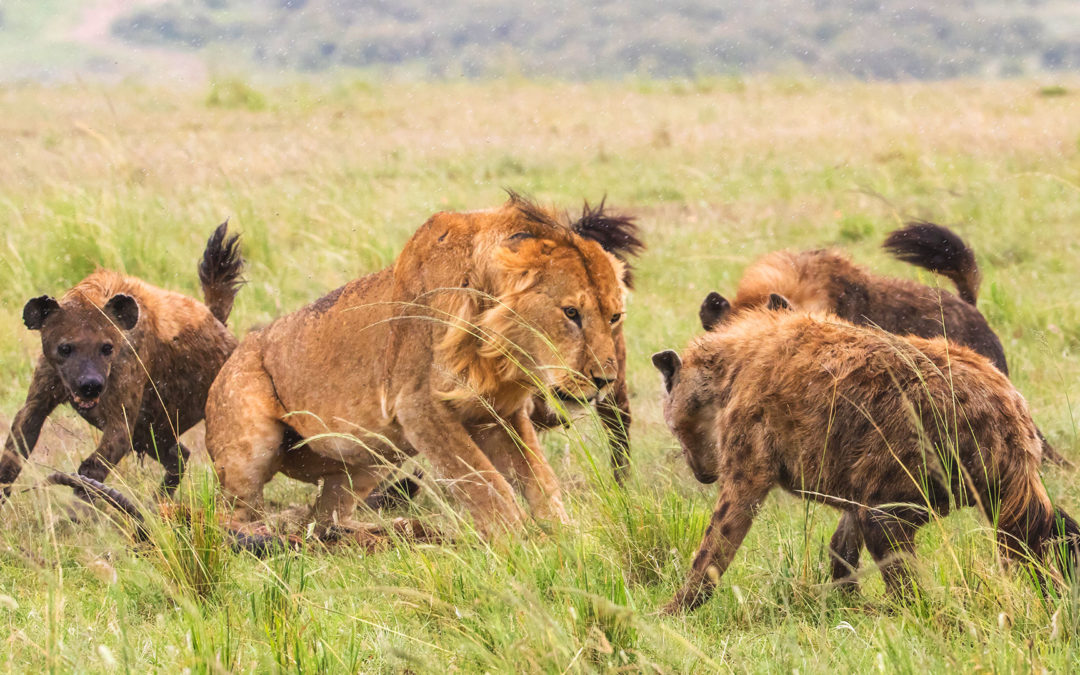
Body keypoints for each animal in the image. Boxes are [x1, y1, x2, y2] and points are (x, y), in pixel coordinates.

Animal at [205, 193, 630, 537]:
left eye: (614, 317)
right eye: (571, 313)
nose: (605, 380)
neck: (499, 353)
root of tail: (238, 346)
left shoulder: (498, 414)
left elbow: (540, 479)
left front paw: (569, 540)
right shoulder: (419, 406)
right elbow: (486, 485)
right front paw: (522, 546)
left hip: (370, 460)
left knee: (324, 518)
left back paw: (390, 530)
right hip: (251, 445)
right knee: (229, 516)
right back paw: (261, 534)